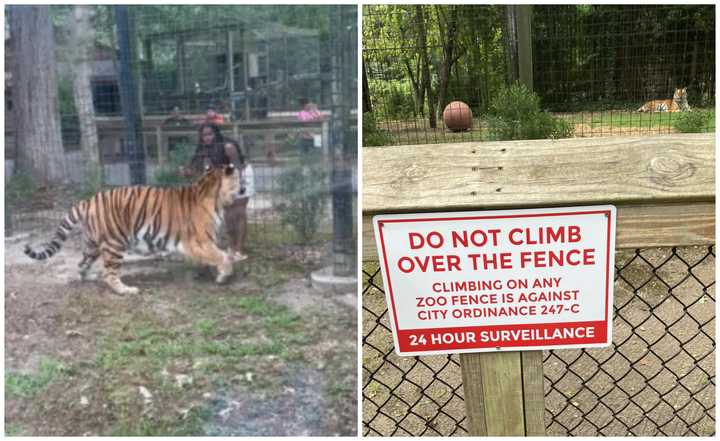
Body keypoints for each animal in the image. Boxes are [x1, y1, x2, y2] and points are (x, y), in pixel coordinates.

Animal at [23, 163, 243, 294]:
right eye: (238, 179)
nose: (243, 188)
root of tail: (88, 200)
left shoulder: (204, 243)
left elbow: (222, 254)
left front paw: (215, 272)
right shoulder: (198, 241)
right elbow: (223, 256)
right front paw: (224, 275)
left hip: (92, 245)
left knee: (82, 264)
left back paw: (89, 277)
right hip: (114, 243)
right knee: (109, 273)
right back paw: (126, 290)